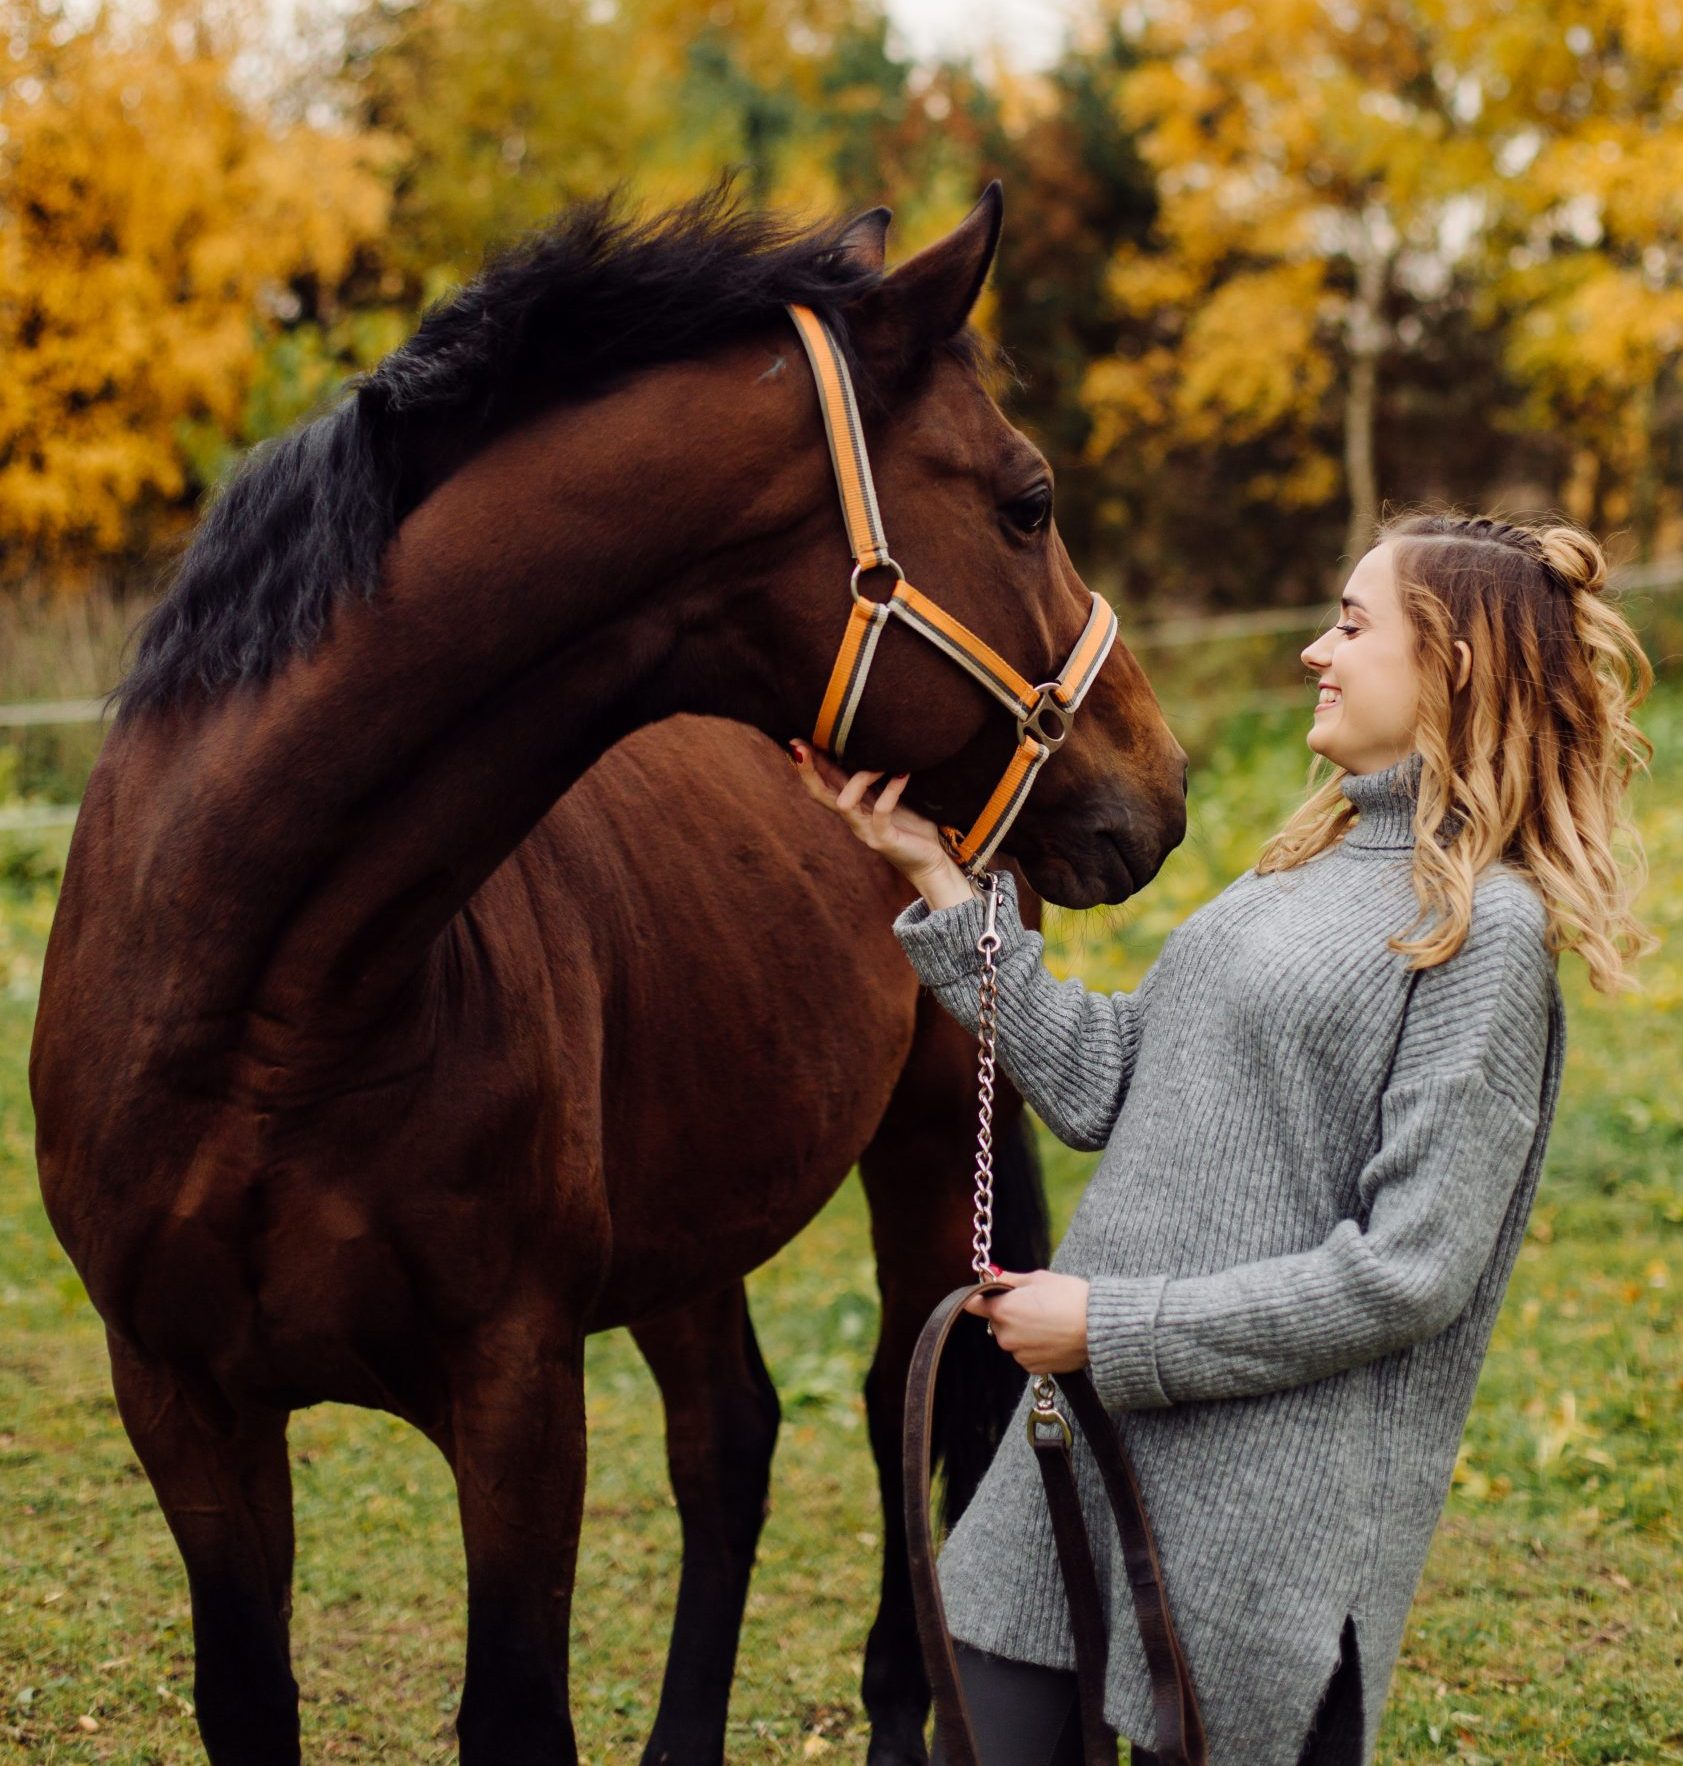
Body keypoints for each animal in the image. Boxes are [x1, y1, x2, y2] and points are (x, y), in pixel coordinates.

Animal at [29, 183, 1186, 1764]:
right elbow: (248, 1696)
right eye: (1028, 499)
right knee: (731, 1438)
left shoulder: (517, 1390)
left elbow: (516, 1705)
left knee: (904, 1386)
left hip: (917, 1145)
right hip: (689, 1201)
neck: (266, 1016)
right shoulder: (178, 1398)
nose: (1159, 784)